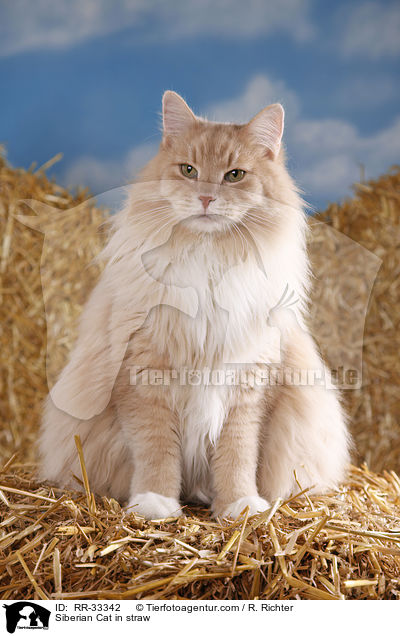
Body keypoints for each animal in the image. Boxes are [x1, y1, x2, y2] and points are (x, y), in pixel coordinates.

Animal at [38, 89, 350, 520]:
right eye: (188, 170)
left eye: (234, 175)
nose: (205, 197)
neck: (208, 261)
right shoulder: (144, 378)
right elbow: (157, 452)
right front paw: (155, 504)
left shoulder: (248, 385)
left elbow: (237, 456)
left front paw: (239, 506)